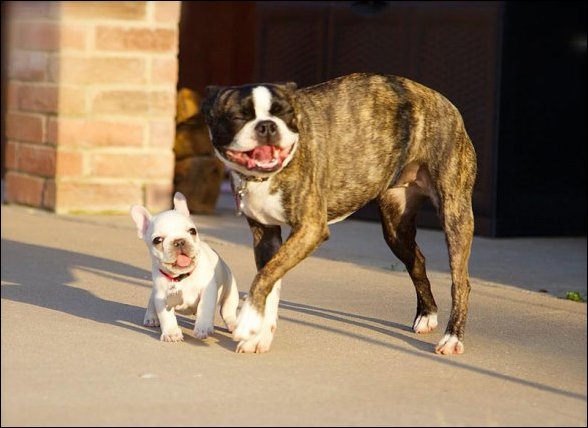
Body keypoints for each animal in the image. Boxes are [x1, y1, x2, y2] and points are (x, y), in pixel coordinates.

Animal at [130, 192, 239, 342]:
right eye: (157, 240)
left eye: (192, 231)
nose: (179, 241)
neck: (181, 277)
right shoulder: (161, 297)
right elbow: (166, 317)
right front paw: (171, 333)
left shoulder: (208, 291)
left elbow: (205, 308)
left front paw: (203, 328)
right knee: (151, 301)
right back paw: (151, 317)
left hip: (230, 291)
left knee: (227, 310)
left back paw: (233, 324)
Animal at [202, 73, 477, 355]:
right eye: (238, 116)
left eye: (286, 113)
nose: (267, 126)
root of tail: (443, 101)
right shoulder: (266, 236)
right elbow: (271, 281)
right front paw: (259, 335)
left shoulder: (310, 229)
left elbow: (264, 277)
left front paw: (247, 322)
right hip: (395, 227)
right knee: (417, 262)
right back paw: (427, 315)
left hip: (455, 214)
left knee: (460, 281)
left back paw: (452, 337)